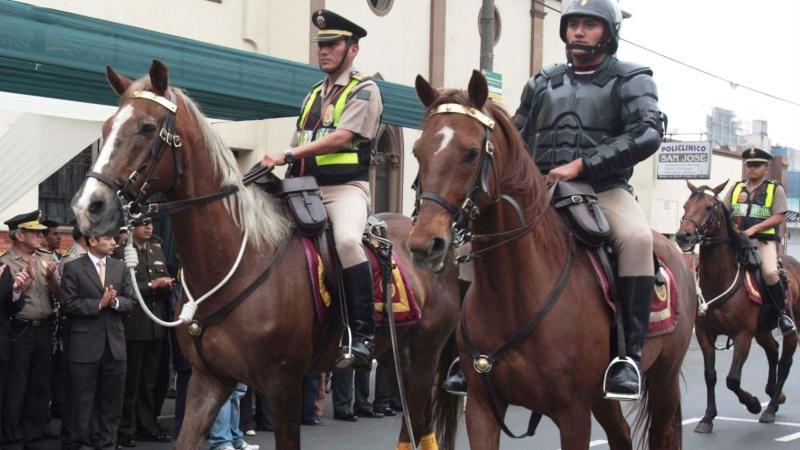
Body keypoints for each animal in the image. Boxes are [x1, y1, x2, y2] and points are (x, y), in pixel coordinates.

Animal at [75, 59, 462, 450]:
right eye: (106, 126)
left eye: (147, 127)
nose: (89, 206)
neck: (239, 259)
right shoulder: (210, 379)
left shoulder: (283, 385)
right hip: (396, 358)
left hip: (423, 357)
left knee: (422, 427)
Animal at [406, 70, 692, 450]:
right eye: (418, 151)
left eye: (470, 153)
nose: (426, 244)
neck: (516, 295)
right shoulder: (481, 410)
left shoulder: (573, 415)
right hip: (603, 399)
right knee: (622, 434)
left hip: (663, 380)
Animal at [676, 181, 800, 430]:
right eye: (685, 205)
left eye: (708, 207)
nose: (684, 236)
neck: (719, 278)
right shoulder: (705, 334)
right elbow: (710, 375)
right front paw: (708, 417)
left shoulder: (743, 335)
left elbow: (732, 379)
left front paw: (753, 403)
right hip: (761, 330)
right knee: (773, 351)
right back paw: (773, 394)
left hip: (790, 329)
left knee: (785, 363)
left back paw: (770, 407)